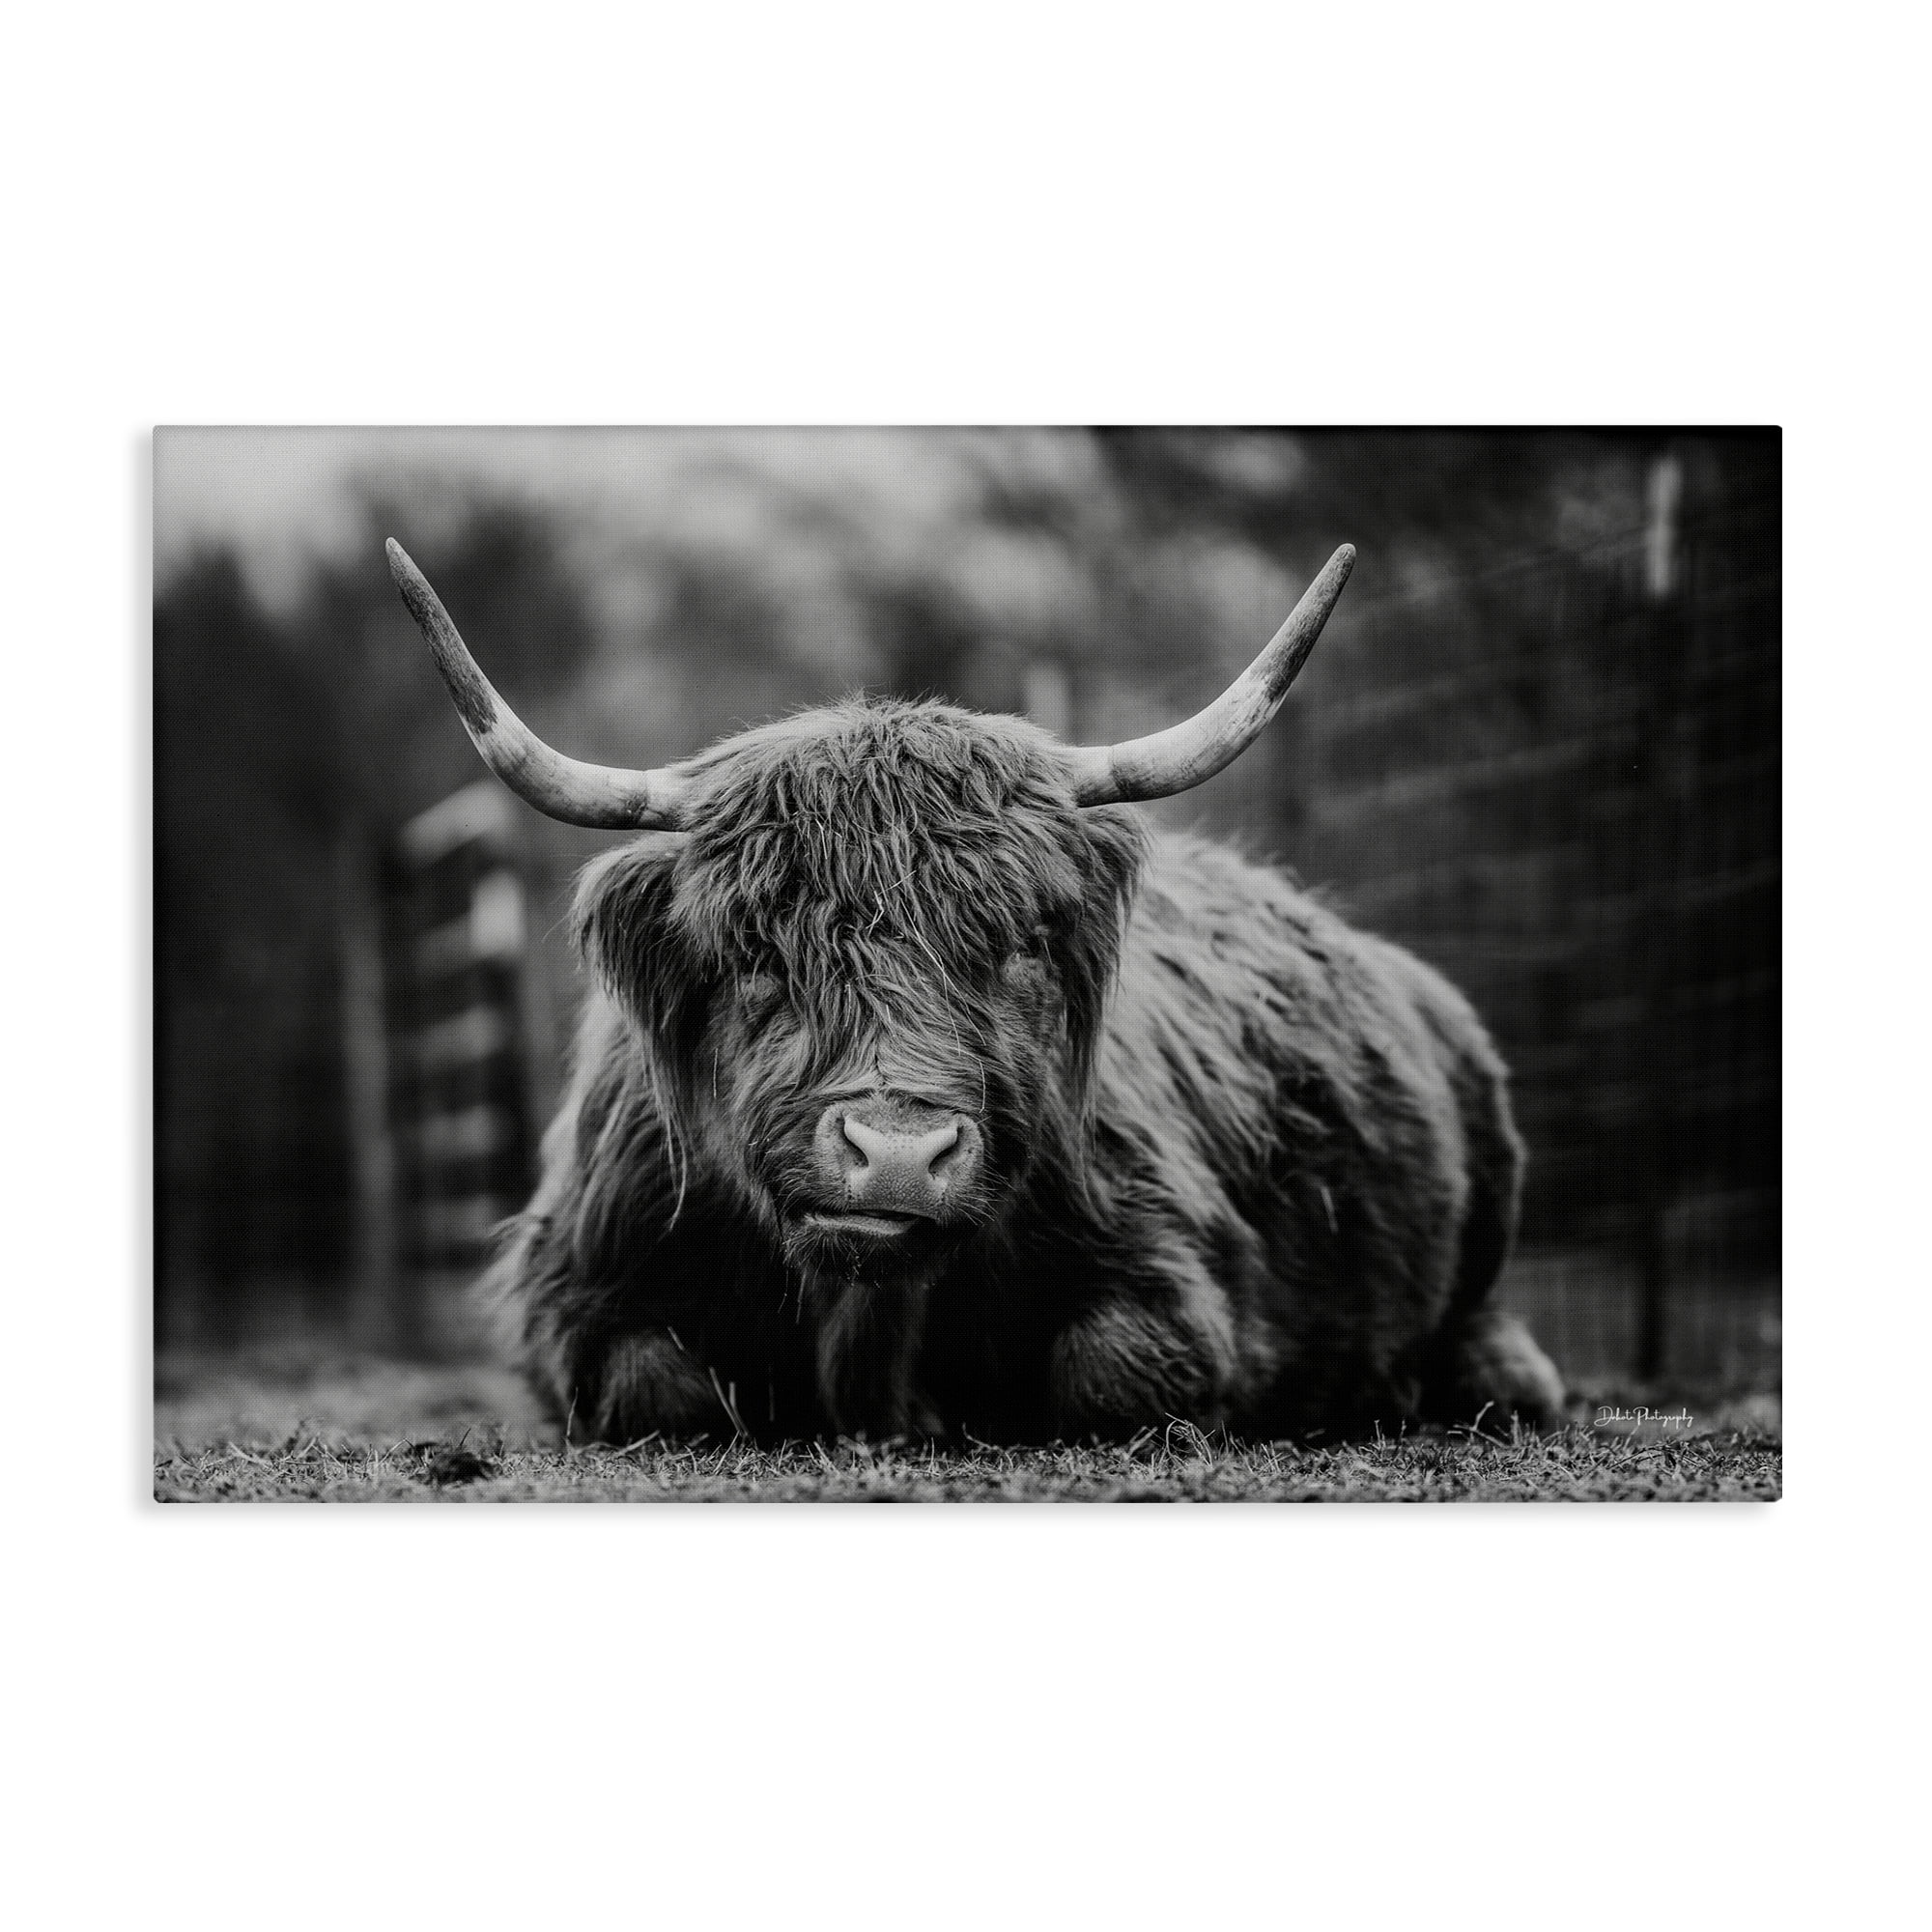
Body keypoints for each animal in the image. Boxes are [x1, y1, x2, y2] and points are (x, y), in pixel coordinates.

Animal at [387, 536, 1566, 1445]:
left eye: (1017, 947)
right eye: (758, 953)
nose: (899, 1154)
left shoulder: (1171, 1276)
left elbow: (1114, 1371)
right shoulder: (576, 1291)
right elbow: (652, 1386)